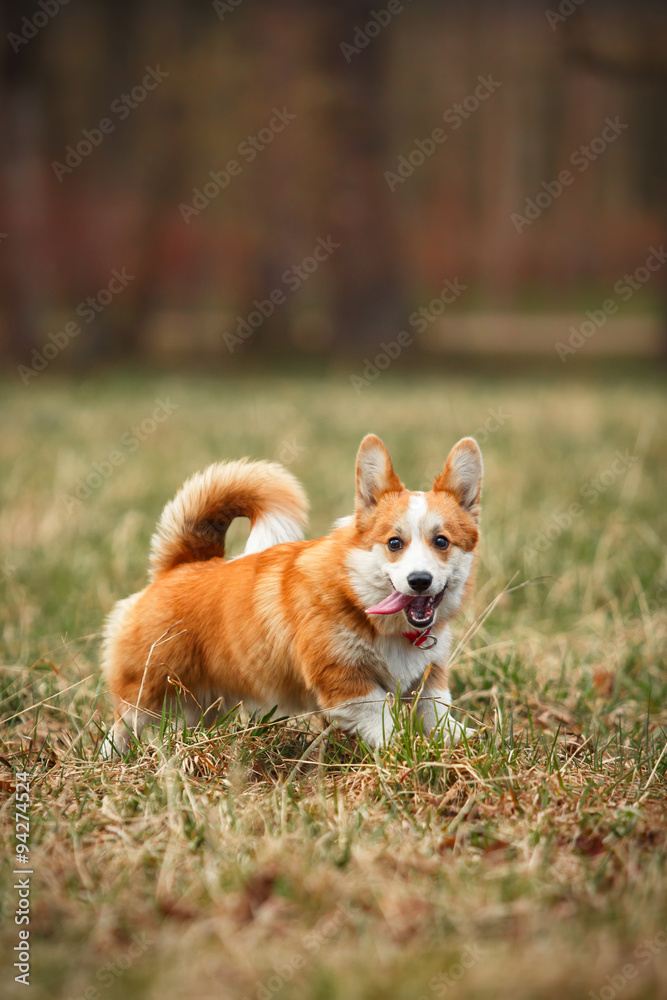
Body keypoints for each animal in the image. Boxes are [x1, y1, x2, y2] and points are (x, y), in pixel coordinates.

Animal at [99, 434, 482, 752]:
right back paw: (113, 758)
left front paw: (462, 741)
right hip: (148, 690)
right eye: (394, 543)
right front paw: (406, 750)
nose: (419, 580)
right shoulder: (346, 685)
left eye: (441, 542)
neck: (358, 596)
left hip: (204, 701)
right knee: (122, 725)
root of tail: (180, 565)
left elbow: (438, 715)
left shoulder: (428, 680)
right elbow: (384, 724)